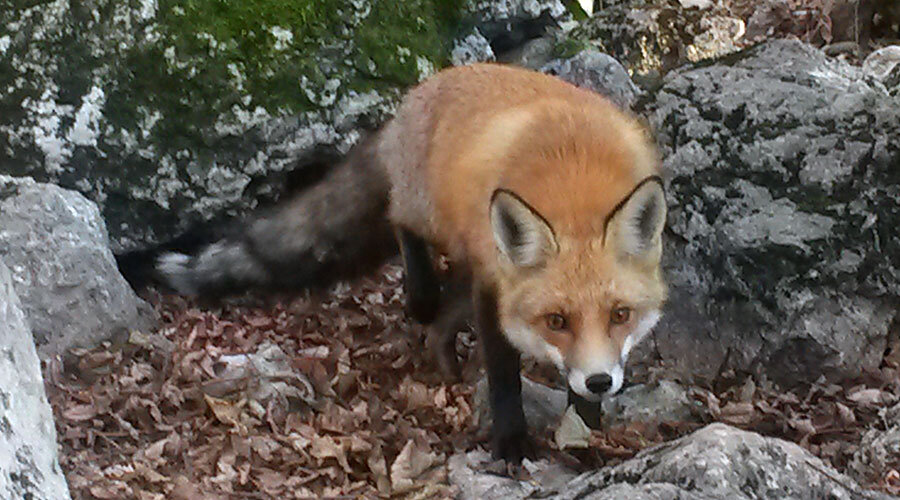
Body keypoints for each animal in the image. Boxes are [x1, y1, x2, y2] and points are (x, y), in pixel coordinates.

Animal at [156, 64, 668, 462]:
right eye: (556, 320)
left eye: (620, 315)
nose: (600, 381)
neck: (572, 181)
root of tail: (417, 92)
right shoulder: (492, 284)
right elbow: (503, 372)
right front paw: (511, 441)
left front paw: (584, 431)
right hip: (429, 215)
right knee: (400, 222)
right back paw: (420, 297)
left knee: (445, 310)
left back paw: (442, 350)